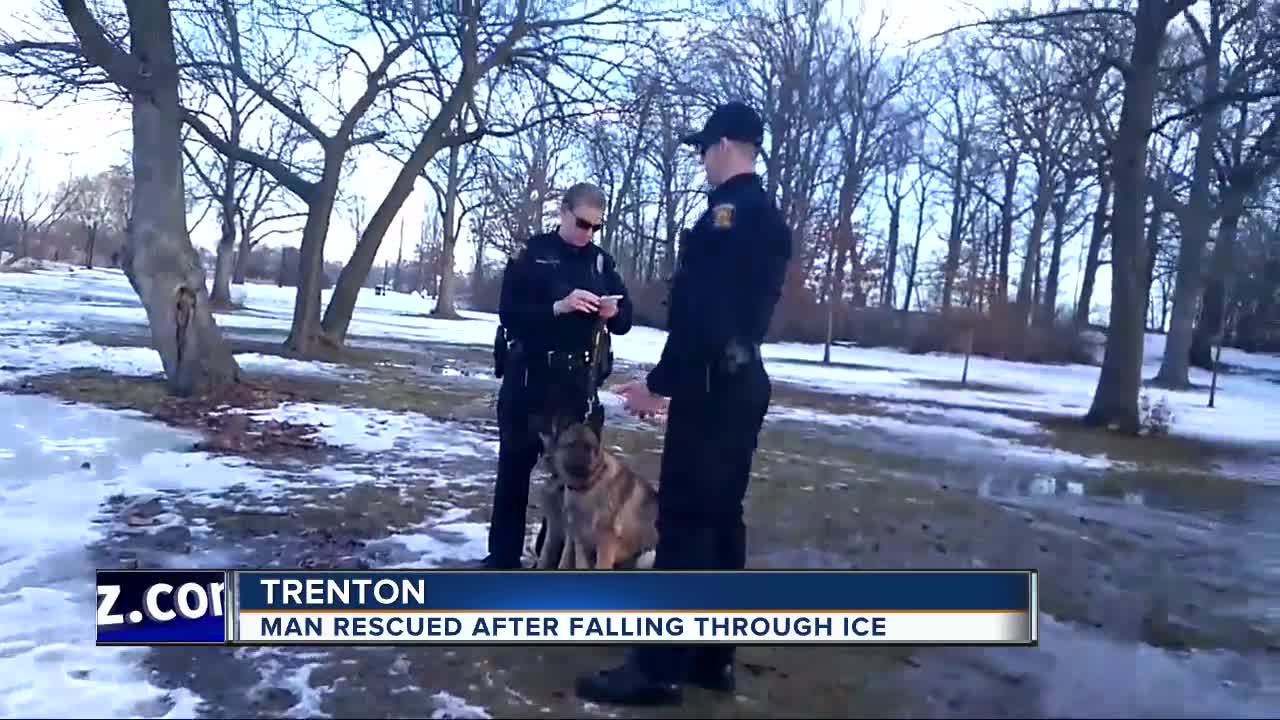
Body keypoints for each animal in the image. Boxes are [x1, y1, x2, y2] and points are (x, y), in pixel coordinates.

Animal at [537, 420, 660, 566]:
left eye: (588, 447)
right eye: (570, 445)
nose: (580, 460)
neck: (588, 487)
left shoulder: (605, 546)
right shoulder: (580, 543)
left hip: (647, 555)